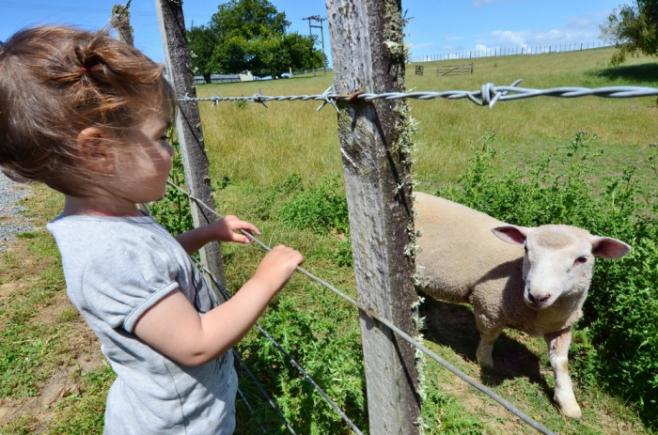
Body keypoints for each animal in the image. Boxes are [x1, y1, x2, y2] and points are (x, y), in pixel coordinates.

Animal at [412, 193, 628, 418]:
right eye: (526, 249)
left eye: (582, 259)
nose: (537, 296)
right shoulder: (489, 306)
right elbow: (490, 337)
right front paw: (485, 361)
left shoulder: (563, 325)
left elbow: (561, 363)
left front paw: (568, 402)